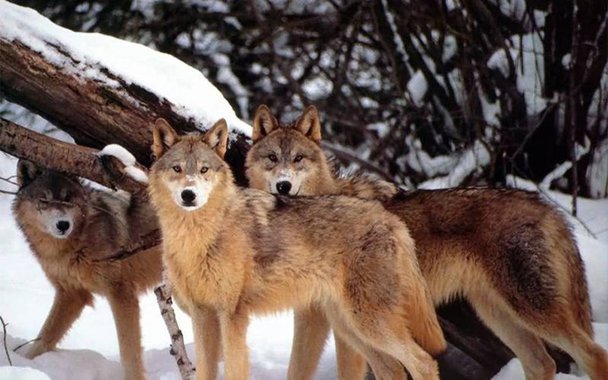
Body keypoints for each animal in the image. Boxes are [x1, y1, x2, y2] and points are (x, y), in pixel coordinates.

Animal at [12, 160, 164, 380]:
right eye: (44, 200)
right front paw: (24, 364)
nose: (63, 224)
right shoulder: (71, 295)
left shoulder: (121, 294)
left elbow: (129, 351)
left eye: (68, 199)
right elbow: (44, 338)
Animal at [148, 118, 446, 380]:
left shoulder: (232, 317)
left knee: (424, 362)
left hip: (368, 323)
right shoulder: (202, 316)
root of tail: (390, 218)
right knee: (392, 368)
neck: (199, 238)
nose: (189, 195)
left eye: (203, 170)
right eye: (177, 169)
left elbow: (234, 371)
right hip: (349, 326)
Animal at [245, 104, 608, 380]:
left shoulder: (336, 327)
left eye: (298, 159)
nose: (283, 186)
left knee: (593, 355)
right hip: (496, 315)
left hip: (530, 310)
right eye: (272, 158)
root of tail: (545, 206)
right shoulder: (326, 321)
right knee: (542, 363)